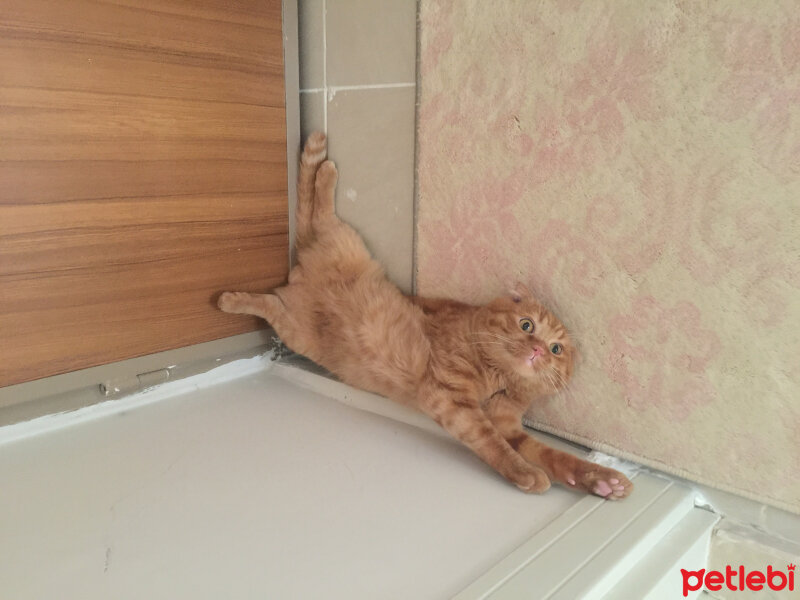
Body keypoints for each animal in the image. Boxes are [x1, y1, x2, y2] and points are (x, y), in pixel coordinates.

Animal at [219, 134, 632, 500]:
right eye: (526, 325)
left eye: (557, 349)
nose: (538, 351)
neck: (499, 381)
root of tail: (300, 270)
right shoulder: (452, 400)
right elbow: (494, 445)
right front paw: (525, 474)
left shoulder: (508, 425)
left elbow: (555, 455)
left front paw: (601, 480)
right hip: (325, 275)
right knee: (312, 217)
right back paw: (231, 295)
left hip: (304, 312)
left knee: (281, 283)